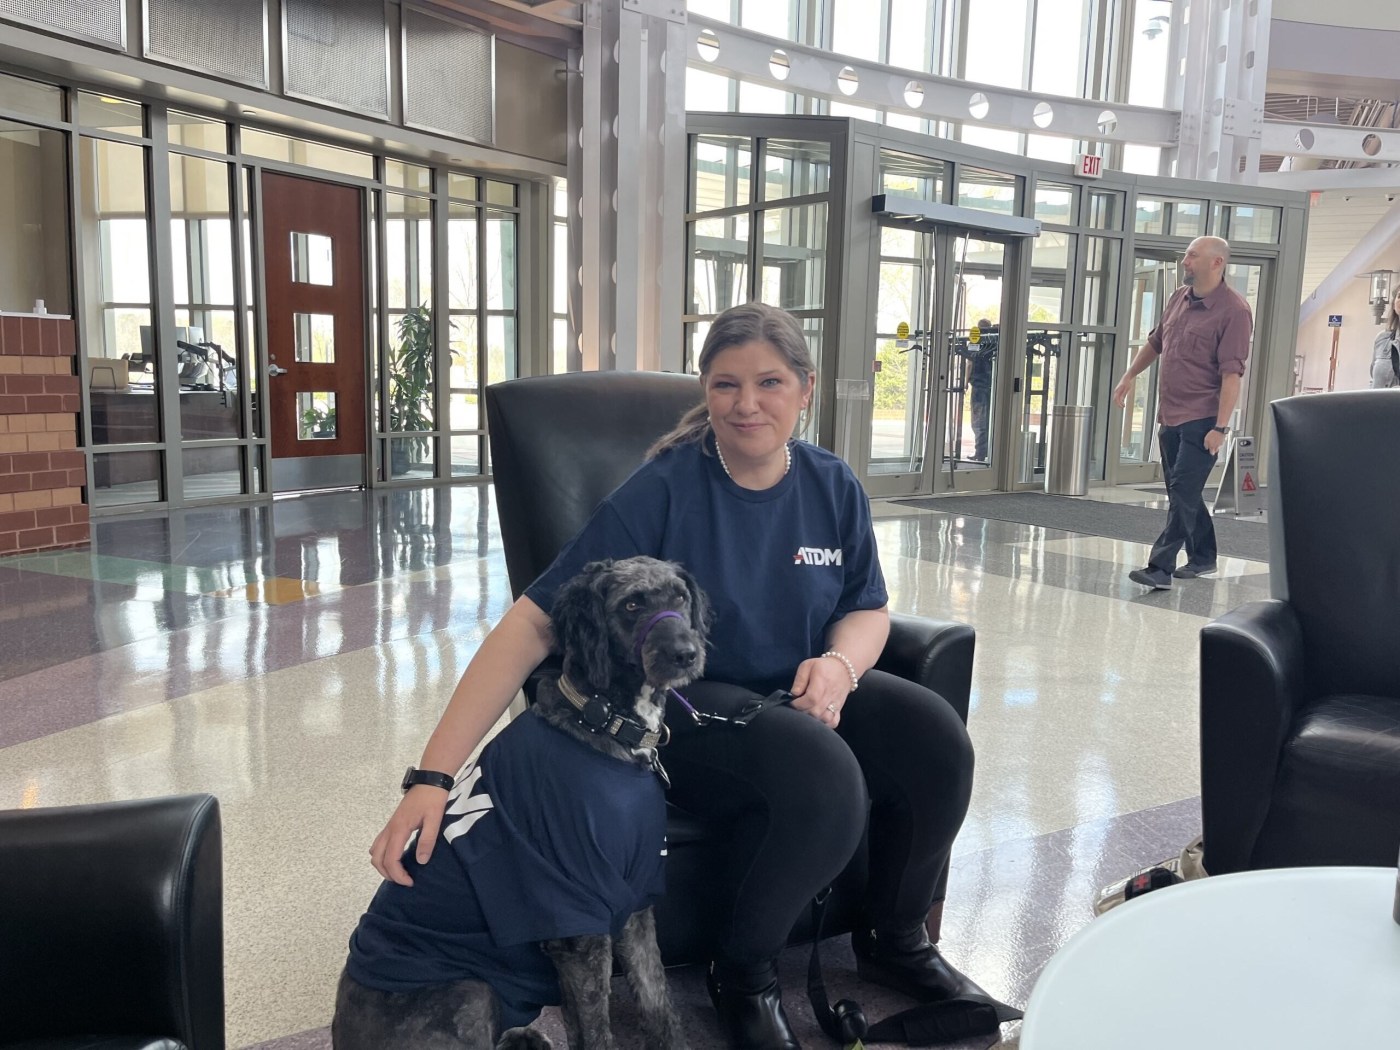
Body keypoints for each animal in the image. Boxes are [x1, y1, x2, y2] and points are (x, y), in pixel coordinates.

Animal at [331, 560, 705, 1050]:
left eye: (679, 596)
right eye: (631, 604)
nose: (686, 653)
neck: (603, 721)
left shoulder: (634, 903)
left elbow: (658, 1005)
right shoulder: (577, 925)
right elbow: (597, 1031)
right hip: (470, 989)